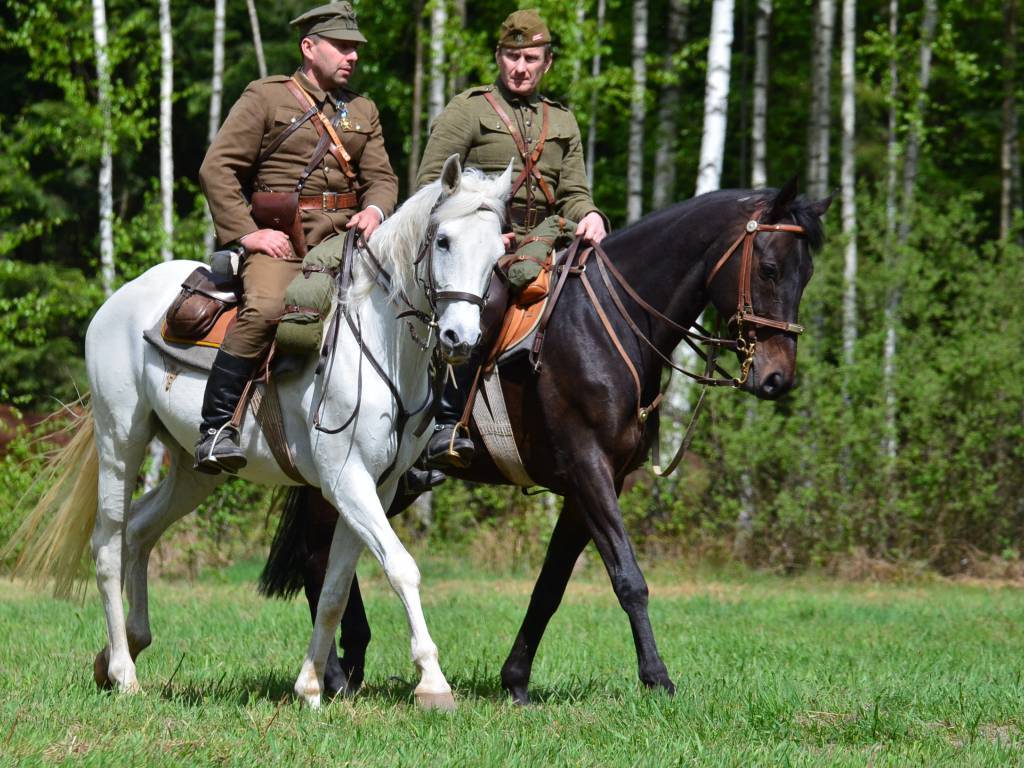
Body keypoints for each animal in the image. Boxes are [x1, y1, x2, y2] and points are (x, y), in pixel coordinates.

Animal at [10, 156, 511, 711]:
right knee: (107, 543)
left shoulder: (375, 488)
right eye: (443, 240)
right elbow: (401, 567)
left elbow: (336, 587)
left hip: (195, 471)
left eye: (497, 252)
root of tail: (120, 299)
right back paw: (123, 672)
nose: (461, 339)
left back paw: (127, 647)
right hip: (121, 439)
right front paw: (432, 681)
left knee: (140, 529)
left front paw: (311, 684)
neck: (377, 340)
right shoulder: (346, 480)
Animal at [260, 180, 831, 704]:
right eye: (770, 268)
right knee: (317, 556)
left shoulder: (595, 486)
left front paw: (516, 680)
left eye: (806, 274)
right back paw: (334, 674)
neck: (611, 322)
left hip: (385, 481)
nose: (777, 379)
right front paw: (657, 678)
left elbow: (551, 585)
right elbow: (629, 577)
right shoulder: (588, 469)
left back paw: (350, 663)